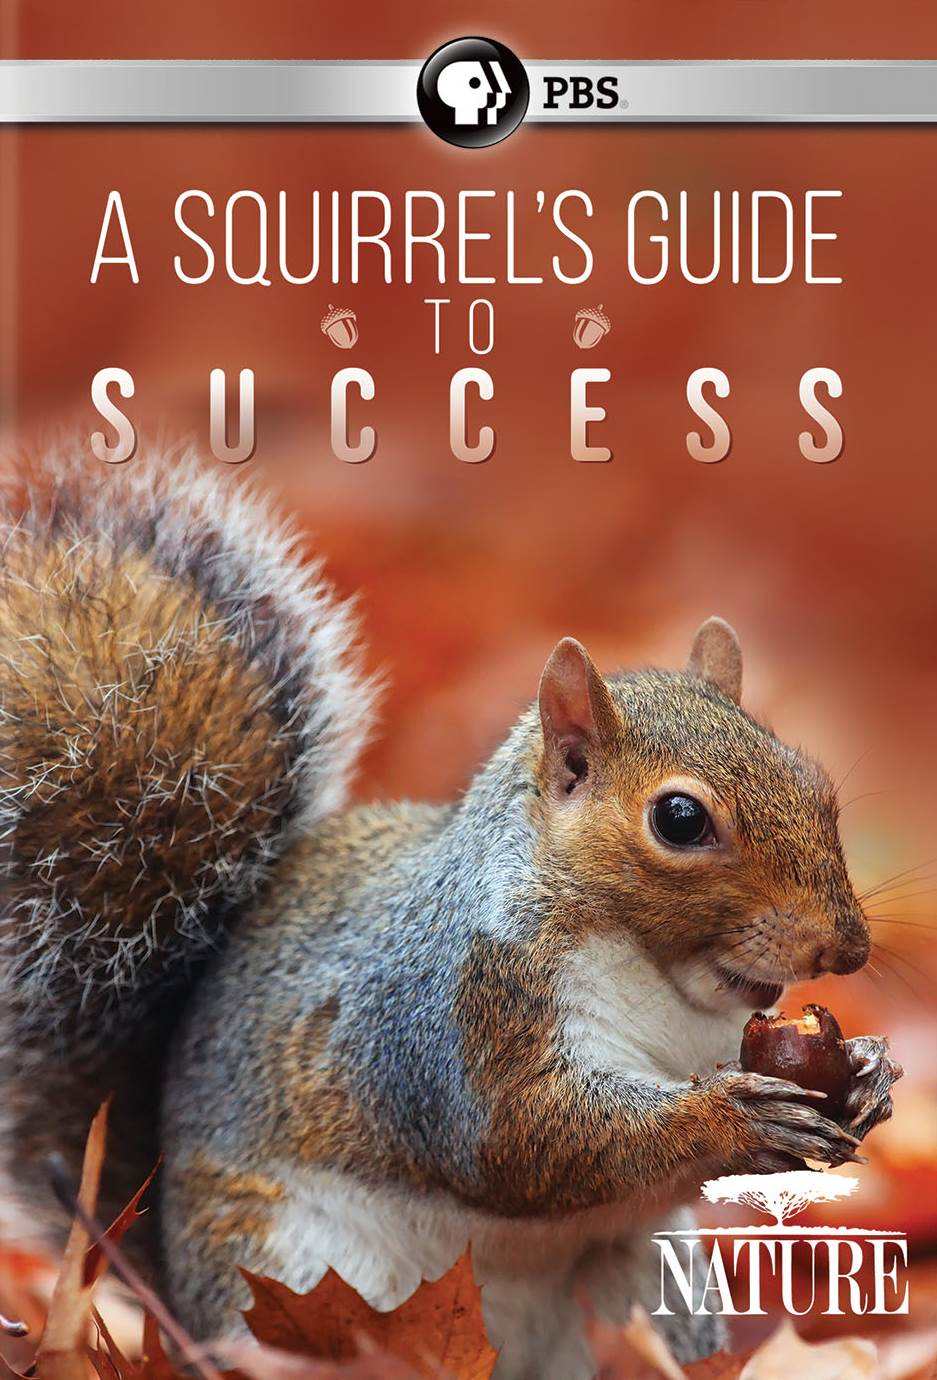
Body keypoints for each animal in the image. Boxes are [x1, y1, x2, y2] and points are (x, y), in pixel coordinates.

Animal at [0, 449, 901, 1380]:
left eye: (812, 782)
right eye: (679, 820)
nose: (845, 949)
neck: (662, 981)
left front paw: (868, 1072)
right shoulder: (451, 1016)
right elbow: (522, 1138)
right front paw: (729, 1117)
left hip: (650, 1276)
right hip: (291, 1276)